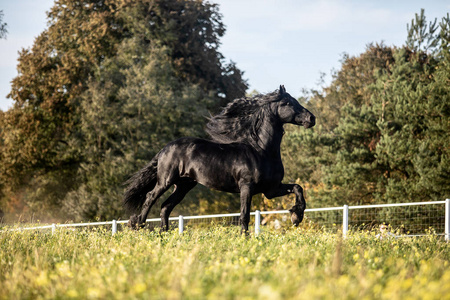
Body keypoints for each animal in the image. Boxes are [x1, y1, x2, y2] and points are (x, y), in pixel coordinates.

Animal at [122, 85, 312, 233]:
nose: (312, 118)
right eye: (287, 103)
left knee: (165, 207)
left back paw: (164, 235)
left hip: (184, 185)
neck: (261, 150)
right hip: (166, 180)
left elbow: (298, 188)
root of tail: (165, 148)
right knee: (150, 197)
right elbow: (244, 216)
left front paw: (296, 216)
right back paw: (137, 225)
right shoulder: (247, 186)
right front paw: (245, 238)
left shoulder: (271, 190)